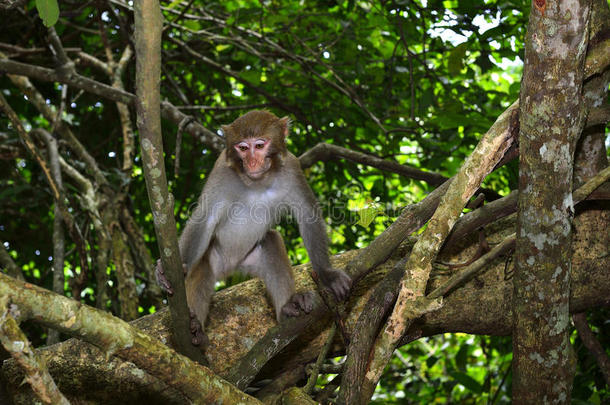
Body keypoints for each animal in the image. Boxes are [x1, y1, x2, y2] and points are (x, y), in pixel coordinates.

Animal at [154, 109, 350, 344]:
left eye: (259, 145)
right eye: (243, 148)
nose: (252, 162)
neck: (257, 182)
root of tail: (229, 267)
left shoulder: (291, 168)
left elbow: (308, 216)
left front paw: (327, 275)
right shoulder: (222, 171)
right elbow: (205, 218)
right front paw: (167, 271)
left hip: (250, 260)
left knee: (271, 240)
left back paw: (287, 308)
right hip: (214, 256)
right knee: (201, 266)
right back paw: (196, 327)